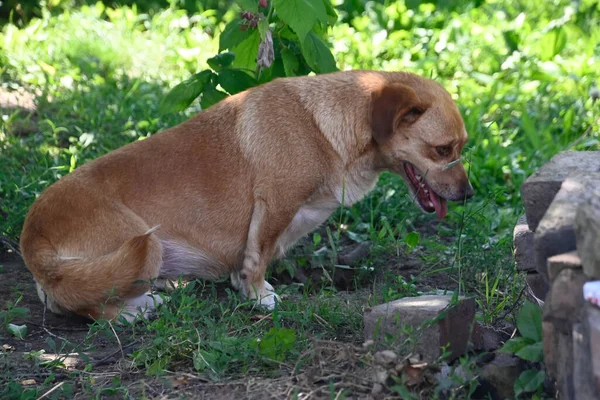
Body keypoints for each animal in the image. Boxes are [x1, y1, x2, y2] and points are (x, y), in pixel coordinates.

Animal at [18, 71, 474, 322]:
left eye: (461, 146)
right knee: (84, 308)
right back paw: (136, 310)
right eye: (442, 150)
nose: (469, 195)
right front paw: (259, 297)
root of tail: (32, 237)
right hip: (144, 247)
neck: (325, 126)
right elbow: (258, 257)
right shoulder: (274, 207)